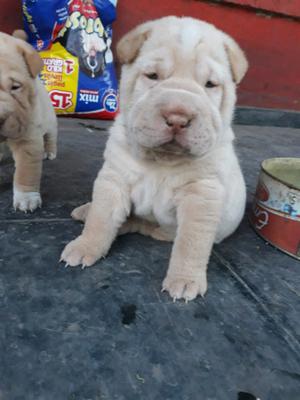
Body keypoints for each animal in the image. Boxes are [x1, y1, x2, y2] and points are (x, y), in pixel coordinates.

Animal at [0, 30, 57, 212]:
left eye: (15, 87)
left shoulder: (28, 138)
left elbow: (26, 172)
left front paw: (26, 199)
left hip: (51, 122)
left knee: (51, 138)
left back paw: (50, 152)